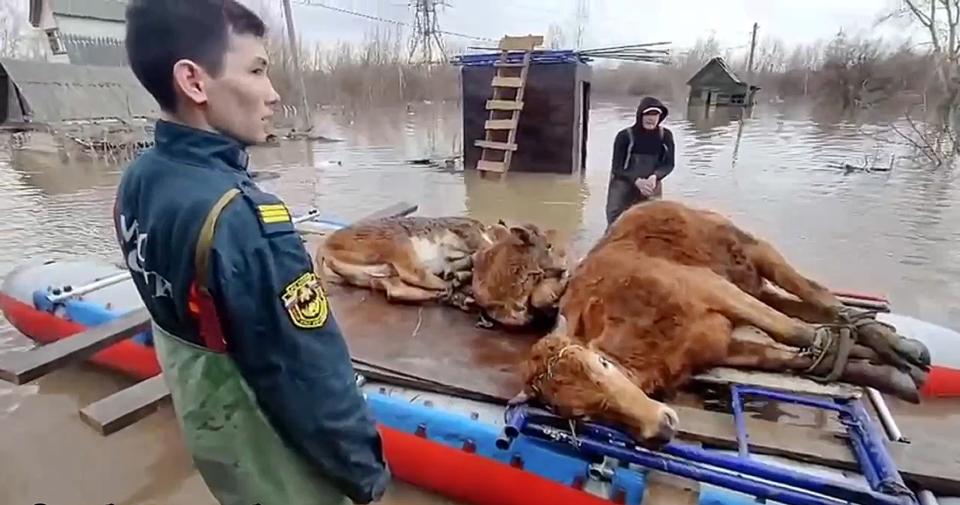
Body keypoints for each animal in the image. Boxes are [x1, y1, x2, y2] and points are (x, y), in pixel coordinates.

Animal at [516, 201, 928, 444]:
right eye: (582, 414)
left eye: (601, 364)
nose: (661, 428)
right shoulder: (718, 346)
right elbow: (795, 357)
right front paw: (889, 377)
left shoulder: (709, 287)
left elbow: (793, 332)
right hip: (754, 283)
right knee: (812, 308)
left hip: (753, 251)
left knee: (817, 296)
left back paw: (906, 349)